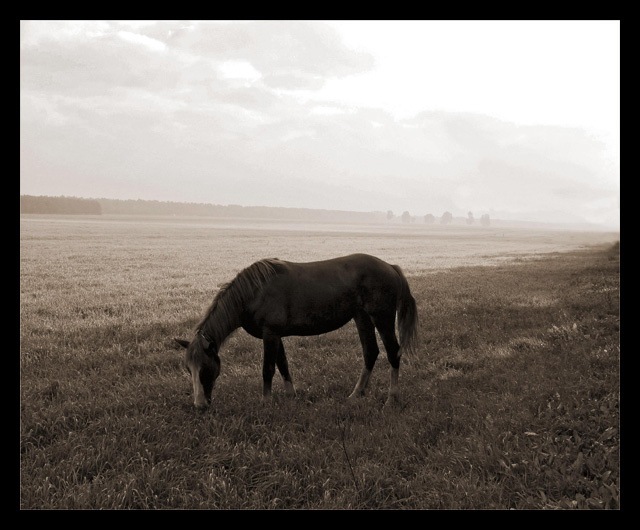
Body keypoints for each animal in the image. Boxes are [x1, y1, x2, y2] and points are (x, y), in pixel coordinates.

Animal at [174, 253, 418, 409]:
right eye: (188, 369)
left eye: (206, 369)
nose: (199, 405)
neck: (254, 292)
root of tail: (391, 267)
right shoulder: (275, 336)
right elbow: (283, 365)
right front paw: (291, 396)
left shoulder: (270, 334)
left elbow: (268, 369)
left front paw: (266, 403)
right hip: (362, 317)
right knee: (370, 352)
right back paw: (356, 394)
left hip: (382, 317)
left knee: (393, 353)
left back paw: (391, 399)